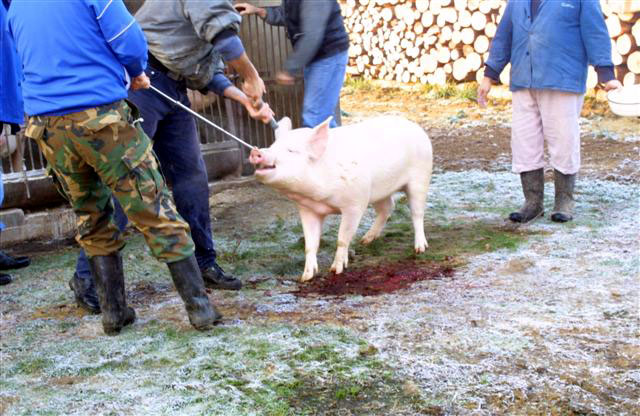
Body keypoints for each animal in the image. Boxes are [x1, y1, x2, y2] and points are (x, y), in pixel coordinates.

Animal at [248, 115, 432, 282]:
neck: (320, 199)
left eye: (291, 150)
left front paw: (335, 270)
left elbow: (342, 239)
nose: (256, 151)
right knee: (388, 207)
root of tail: (415, 126)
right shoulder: (307, 210)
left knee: (417, 213)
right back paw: (366, 240)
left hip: (420, 176)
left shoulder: (355, 203)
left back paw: (420, 249)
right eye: (272, 146)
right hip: (379, 190)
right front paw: (306, 277)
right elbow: (310, 244)